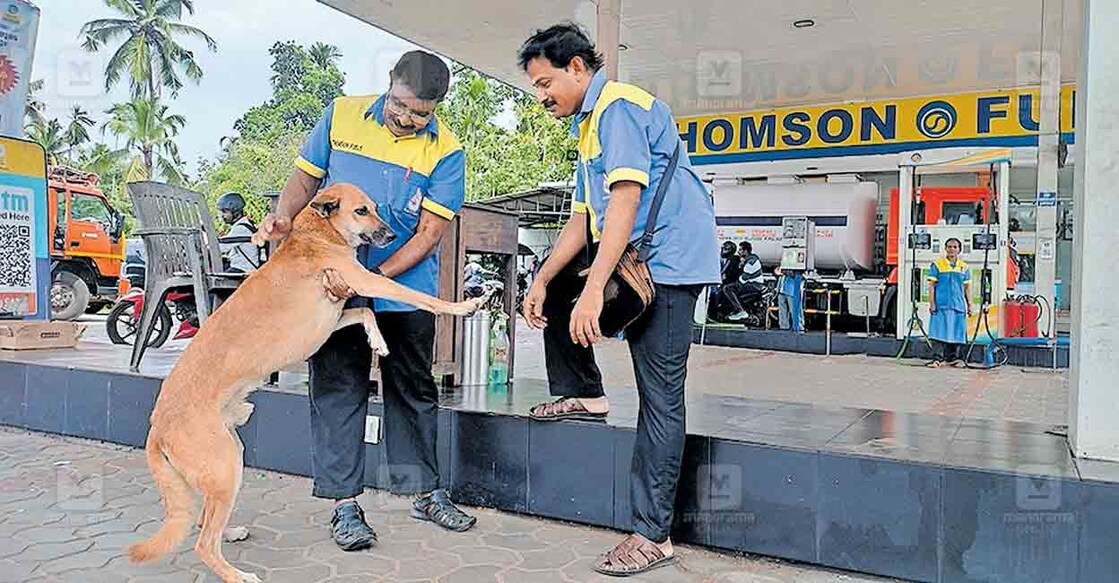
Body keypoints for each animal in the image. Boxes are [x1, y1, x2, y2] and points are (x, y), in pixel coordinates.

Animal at [128, 183, 485, 581]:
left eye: (376, 208)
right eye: (362, 211)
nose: (392, 235)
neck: (318, 234)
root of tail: (157, 426)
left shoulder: (336, 309)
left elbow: (364, 312)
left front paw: (377, 340)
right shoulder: (364, 279)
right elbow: (420, 298)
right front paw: (461, 307)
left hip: (228, 461)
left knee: (206, 523)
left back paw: (231, 534)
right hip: (224, 468)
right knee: (203, 542)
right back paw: (237, 574)